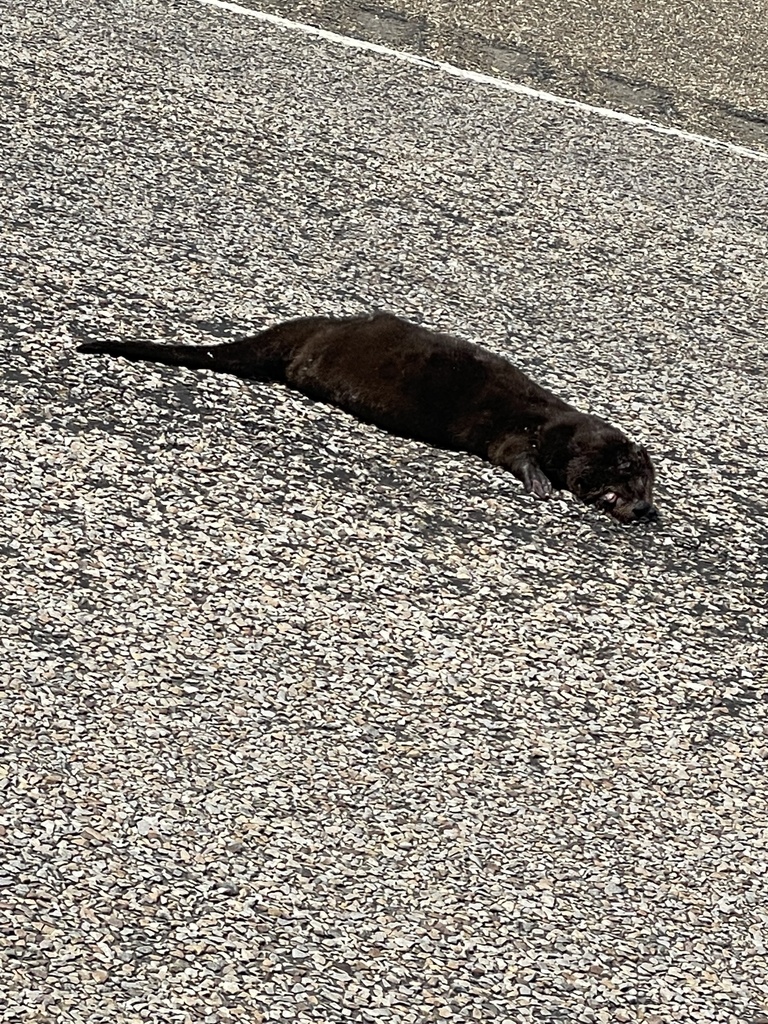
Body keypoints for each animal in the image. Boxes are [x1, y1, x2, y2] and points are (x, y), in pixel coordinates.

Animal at [79, 309, 663, 520]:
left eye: (647, 489)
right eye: (630, 481)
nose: (643, 508)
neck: (559, 427)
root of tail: (309, 328)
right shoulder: (519, 429)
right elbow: (515, 454)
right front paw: (540, 482)